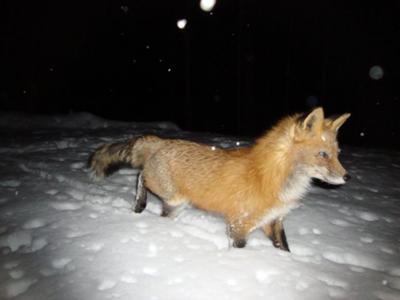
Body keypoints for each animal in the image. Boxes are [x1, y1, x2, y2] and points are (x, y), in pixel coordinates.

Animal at [88, 108, 350, 251]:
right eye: (323, 155)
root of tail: (162, 141)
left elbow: (285, 249)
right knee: (141, 176)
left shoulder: (273, 222)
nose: (347, 177)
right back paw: (139, 204)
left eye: (337, 153)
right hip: (169, 194)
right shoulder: (240, 224)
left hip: (175, 205)